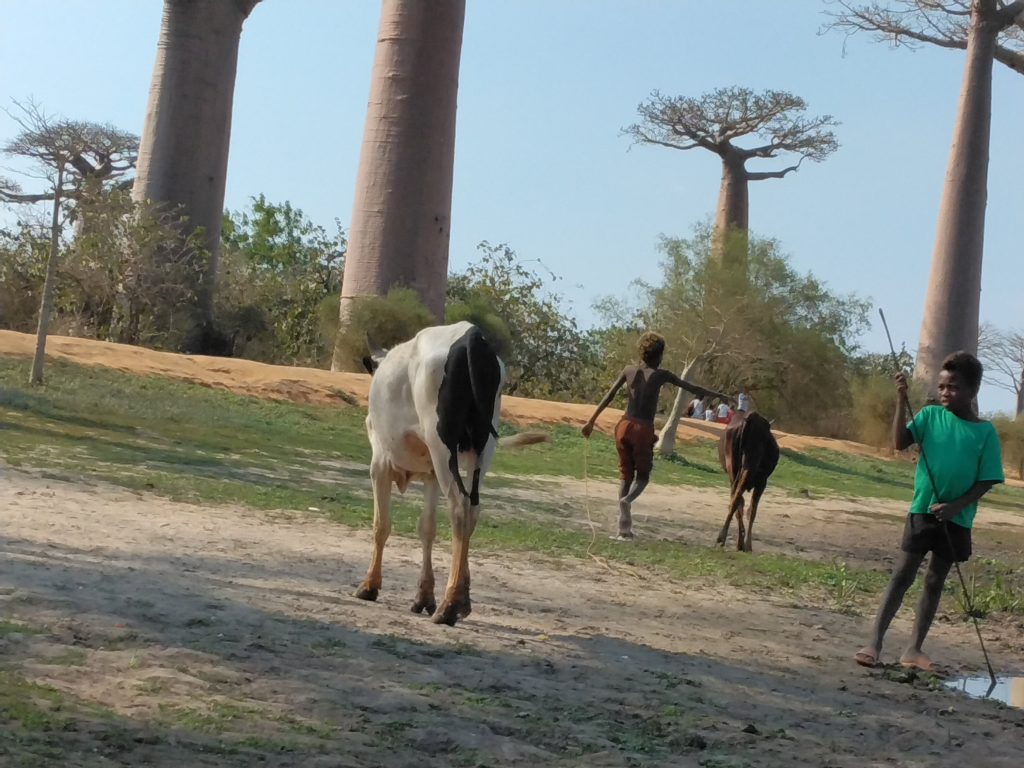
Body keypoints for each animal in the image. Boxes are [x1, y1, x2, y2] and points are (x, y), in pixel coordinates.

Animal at [354, 321, 546, 626]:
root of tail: (471, 335)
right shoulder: (431, 474)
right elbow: (427, 528)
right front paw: (424, 597)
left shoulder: (380, 463)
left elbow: (381, 525)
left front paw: (370, 585)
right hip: (482, 448)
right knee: (472, 509)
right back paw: (461, 599)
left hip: (442, 445)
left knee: (458, 508)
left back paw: (449, 605)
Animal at [716, 410, 779, 553]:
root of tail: (750, 419)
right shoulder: (762, 481)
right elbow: (752, 511)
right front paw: (747, 544)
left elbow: (741, 505)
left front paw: (741, 542)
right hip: (749, 469)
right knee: (740, 499)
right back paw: (728, 538)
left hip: (734, 469)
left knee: (736, 499)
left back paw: (724, 538)